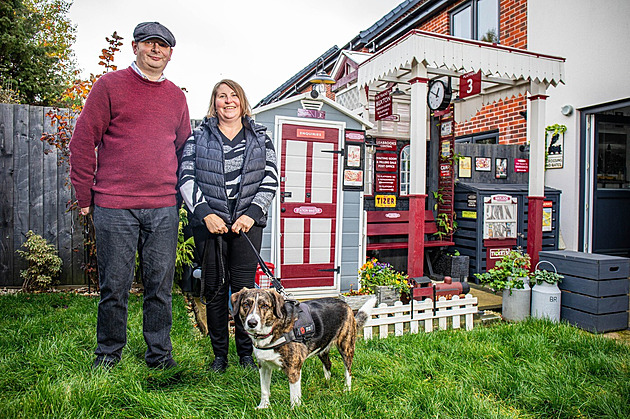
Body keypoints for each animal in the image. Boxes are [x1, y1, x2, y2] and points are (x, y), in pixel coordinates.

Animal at [233, 288, 378, 410]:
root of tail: (346, 304)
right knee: (328, 364)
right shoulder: (263, 366)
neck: (274, 329)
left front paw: (294, 411)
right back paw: (327, 382)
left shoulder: (293, 369)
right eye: (246, 304)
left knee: (348, 371)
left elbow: (294, 396)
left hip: (346, 346)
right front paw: (263, 406)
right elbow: (264, 389)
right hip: (322, 347)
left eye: (264, 306)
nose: (252, 323)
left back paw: (346, 390)